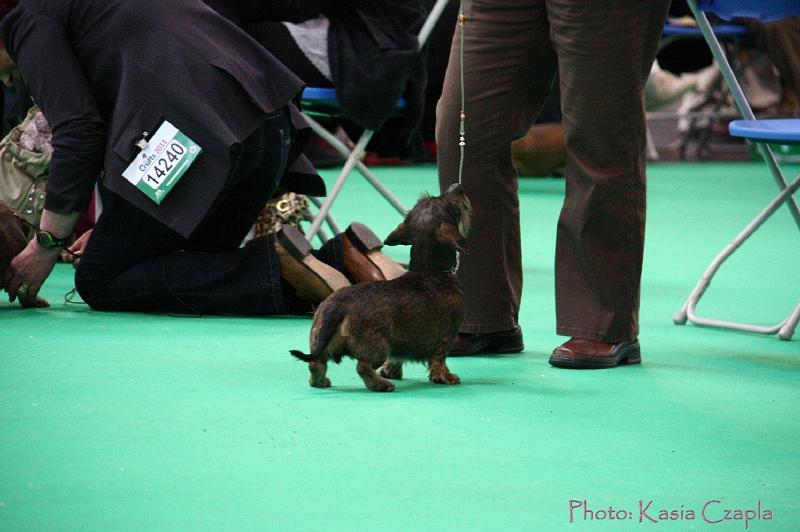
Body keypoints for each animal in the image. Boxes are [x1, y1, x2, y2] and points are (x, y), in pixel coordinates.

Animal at [292, 183, 468, 390]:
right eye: (449, 204)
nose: (457, 185)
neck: (432, 271)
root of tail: (340, 305)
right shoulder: (447, 335)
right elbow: (439, 359)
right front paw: (446, 377)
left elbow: (397, 358)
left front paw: (391, 371)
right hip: (377, 346)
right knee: (362, 367)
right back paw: (380, 385)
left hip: (320, 338)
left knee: (316, 363)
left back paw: (322, 382)